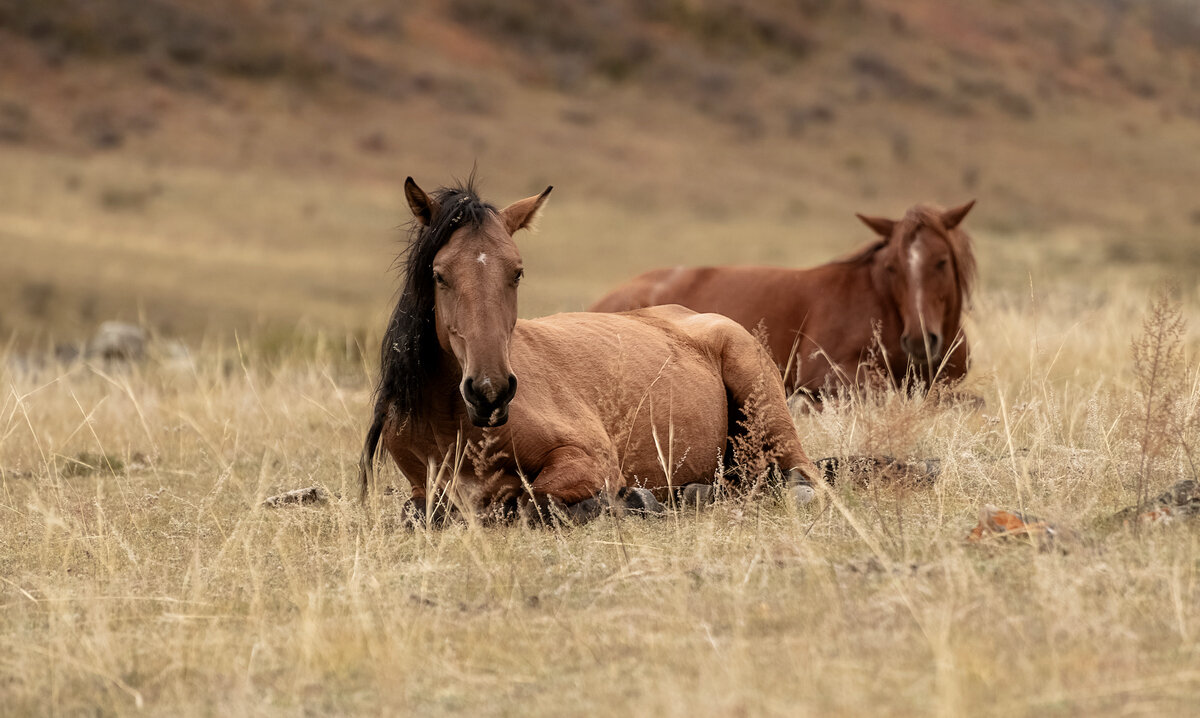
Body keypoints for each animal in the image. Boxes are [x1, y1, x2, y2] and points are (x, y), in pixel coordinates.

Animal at [360, 174, 820, 523]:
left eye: (517, 272)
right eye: (439, 274)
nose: (490, 392)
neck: (453, 423)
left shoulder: (588, 458)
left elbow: (532, 499)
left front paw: (631, 500)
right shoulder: (423, 488)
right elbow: (421, 511)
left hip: (770, 416)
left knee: (800, 479)